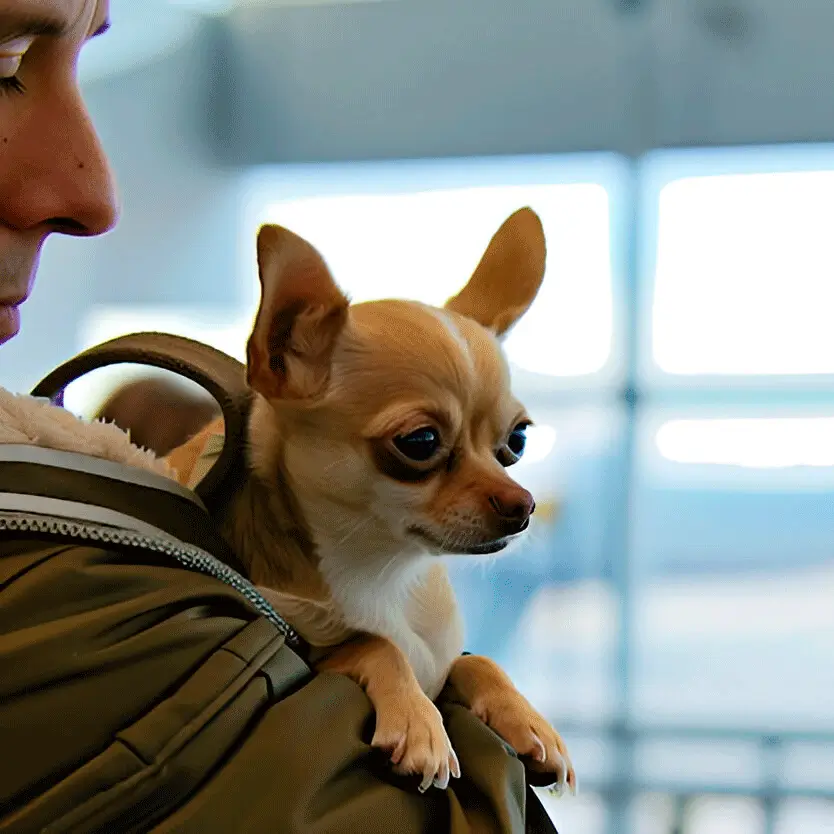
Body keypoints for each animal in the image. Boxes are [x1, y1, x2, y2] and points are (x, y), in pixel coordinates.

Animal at [166, 206, 576, 792]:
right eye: (420, 442)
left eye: (517, 440)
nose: (523, 505)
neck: (384, 570)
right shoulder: (310, 649)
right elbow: (372, 643)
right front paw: (420, 724)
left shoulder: (441, 662)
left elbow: (475, 662)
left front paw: (527, 720)